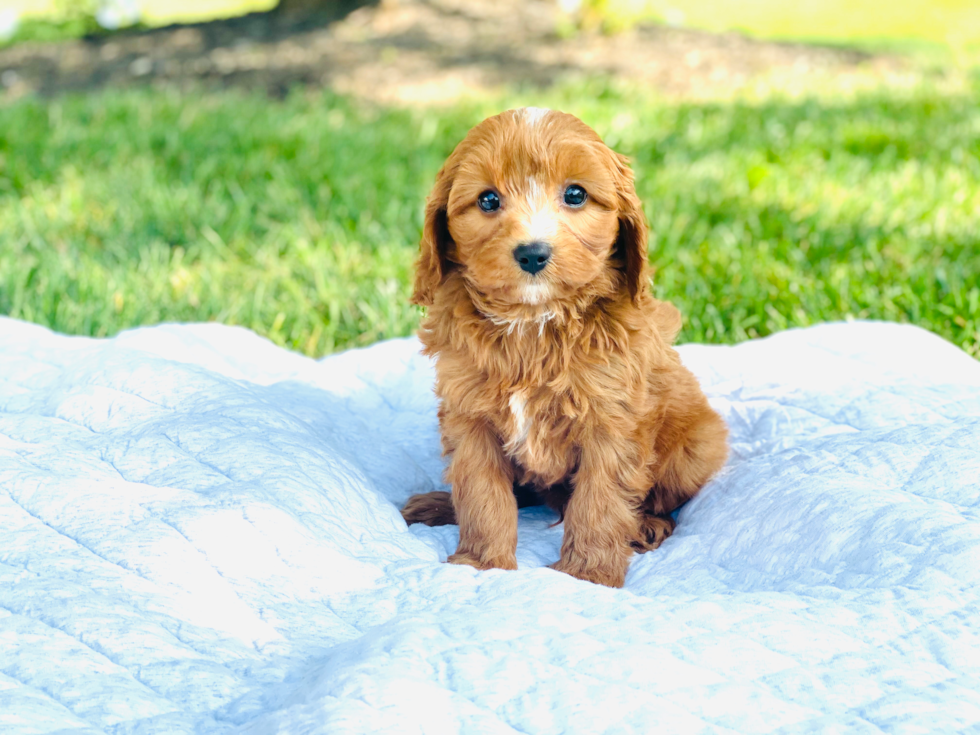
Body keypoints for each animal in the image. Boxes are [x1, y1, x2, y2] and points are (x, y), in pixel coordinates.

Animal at [400, 108, 728, 588]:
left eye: (575, 194)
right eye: (487, 200)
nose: (533, 254)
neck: (534, 323)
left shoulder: (613, 420)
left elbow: (599, 499)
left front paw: (587, 575)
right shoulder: (469, 415)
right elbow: (481, 489)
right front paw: (481, 563)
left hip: (699, 444)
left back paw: (647, 525)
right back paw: (438, 504)